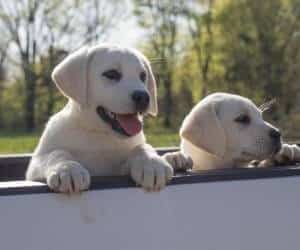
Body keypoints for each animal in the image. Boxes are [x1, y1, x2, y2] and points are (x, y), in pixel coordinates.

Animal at [27, 44, 175, 193]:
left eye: (143, 76)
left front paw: (152, 162)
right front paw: (67, 168)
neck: (100, 134)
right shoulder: (35, 167)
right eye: (111, 74)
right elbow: (56, 153)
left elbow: (142, 147)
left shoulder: (120, 168)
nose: (144, 97)